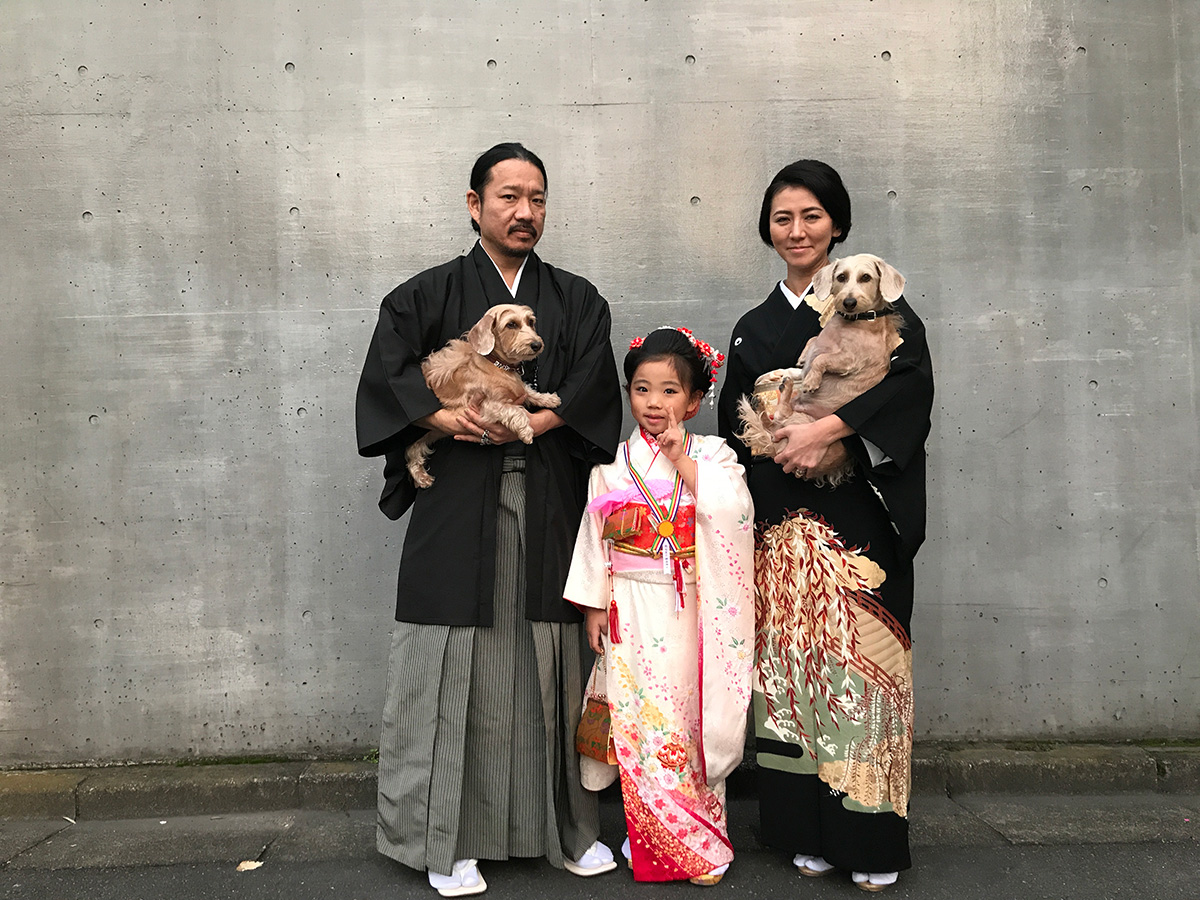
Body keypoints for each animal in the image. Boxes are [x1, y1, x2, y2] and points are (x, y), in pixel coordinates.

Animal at [405, 303, 560, 488]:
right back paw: (421, 477)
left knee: (414, 449)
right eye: (511, 324)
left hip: (436, 432)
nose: (537, 344)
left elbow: (529, 392)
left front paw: (550, 399)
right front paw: (526, 431)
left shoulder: (519, 389)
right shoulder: (486, 406)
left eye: (530, 322)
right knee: (411, 450)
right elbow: (516, 411)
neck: (498, 366)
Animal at [737, 254, 906, 485]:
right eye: (841, 277)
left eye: (866, 277)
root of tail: (773, 447)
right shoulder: (813, 352)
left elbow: (821, 359)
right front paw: (792, 366)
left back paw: (783, 394)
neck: (854, 322)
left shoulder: (849, 359)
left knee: (780, 415)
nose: (849, 302)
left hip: (803, 423)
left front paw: (810, 382)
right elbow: (810, 348)